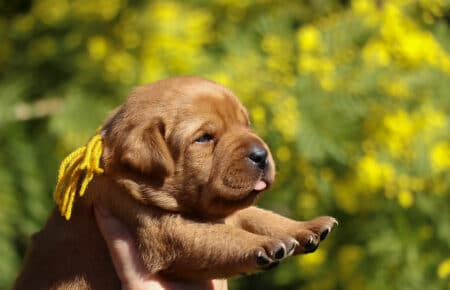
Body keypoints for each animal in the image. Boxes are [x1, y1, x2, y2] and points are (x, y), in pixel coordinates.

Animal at [13, 77, 338, 290]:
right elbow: (222, 238)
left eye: (246, 125)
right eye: (204, 138)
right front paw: (263, 245)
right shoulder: (163, 232)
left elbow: (262, 215)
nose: (261, 155)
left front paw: (305, 227)